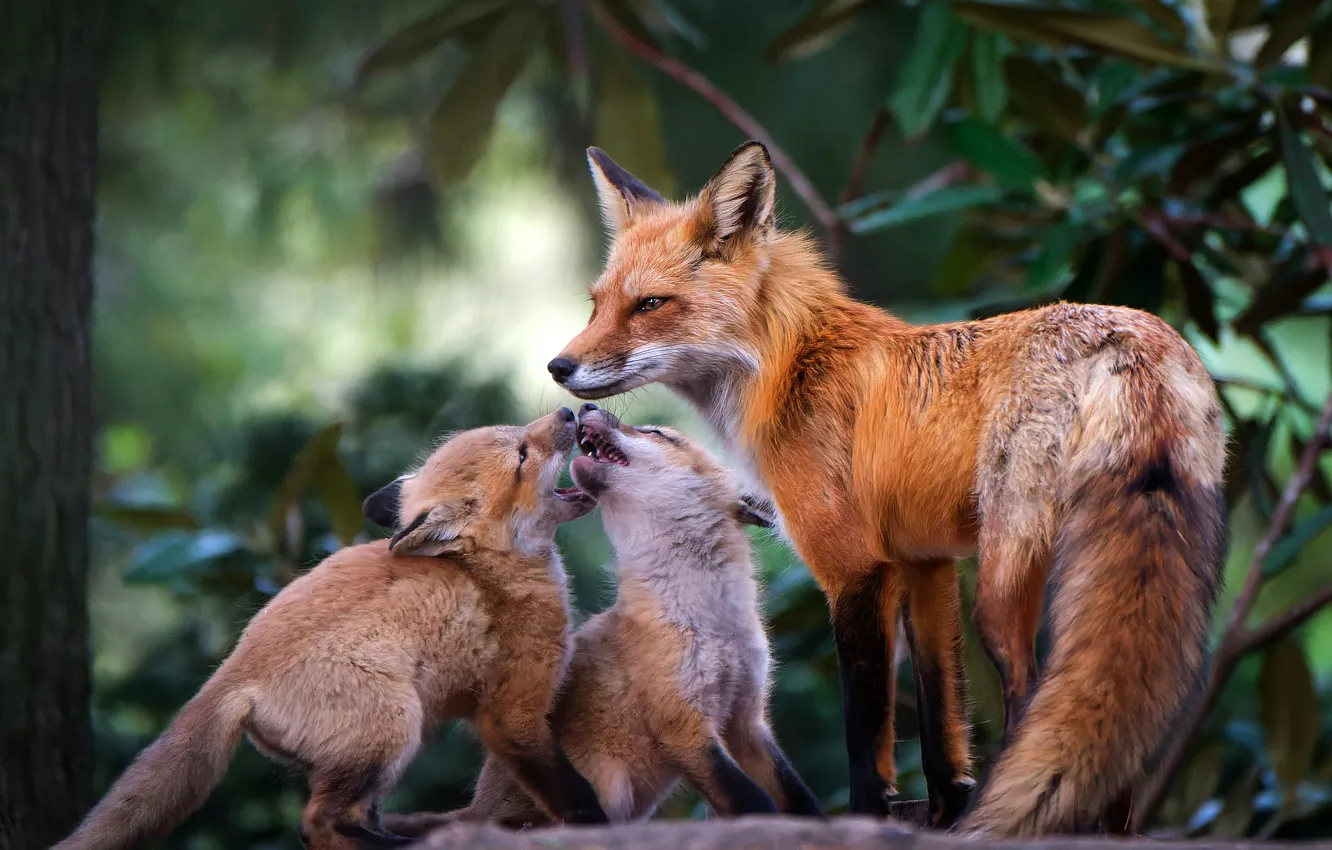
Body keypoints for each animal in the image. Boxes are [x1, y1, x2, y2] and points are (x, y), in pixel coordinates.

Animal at [54, 408, 609, 850]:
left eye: (518, 431)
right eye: (522, 454)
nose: (568, 410)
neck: (487, 574)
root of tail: (234, 669)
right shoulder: (512, 714)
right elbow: (573, 794)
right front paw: (596, 825)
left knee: (340, 819)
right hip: (395, 728)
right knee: (316, 824)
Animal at [377, 403, 823, 838]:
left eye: (655, 433)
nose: (587, 405)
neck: (714, 620)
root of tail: (477, 809)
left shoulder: (747, 720)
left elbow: (798, 798)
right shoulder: (683, 726)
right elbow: (754, 802)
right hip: (607, 784)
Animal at [543, 141, 1229, 837]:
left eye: (650, 305)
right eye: (596, 303)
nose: (558, 368)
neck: (790, 371)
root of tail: (1123, 331)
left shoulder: (855, 568)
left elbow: (866, 729)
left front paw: (868, 817)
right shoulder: (926, 563)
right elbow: (939, 721)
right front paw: (948, 809)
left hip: (1003, 587)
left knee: (1033, 695)